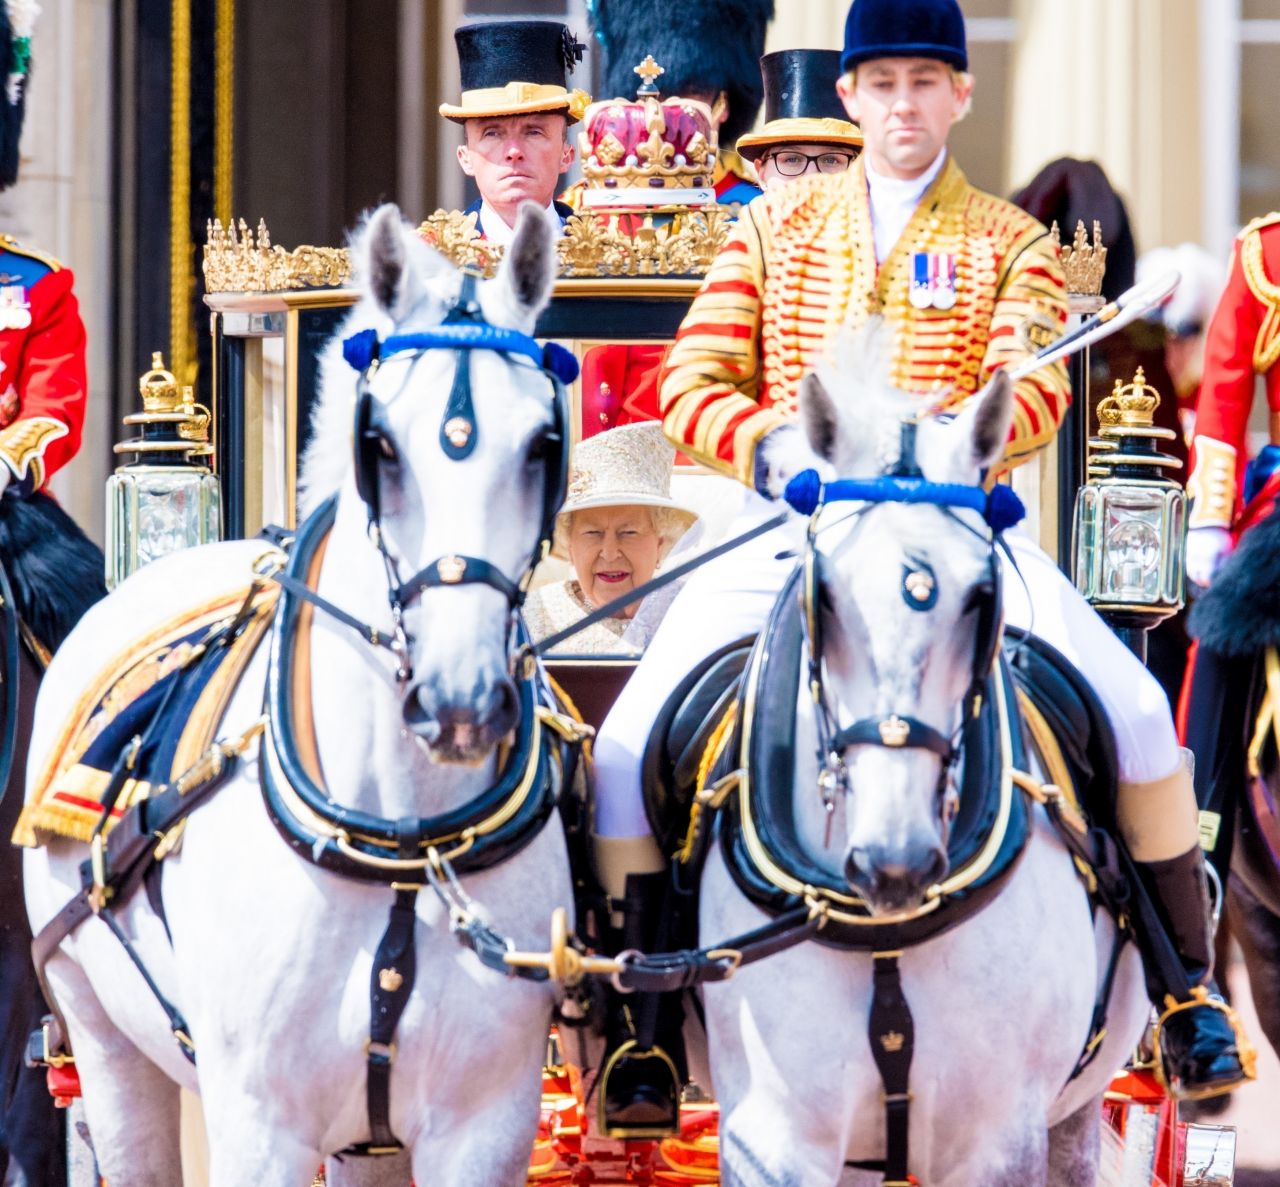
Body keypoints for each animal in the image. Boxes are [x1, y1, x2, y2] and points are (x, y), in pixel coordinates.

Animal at [22, 206, 573, 1187]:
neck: (401, 841)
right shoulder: (257, 1123)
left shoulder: (485, 1126)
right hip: (106, 1040)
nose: (460, 699)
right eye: (377, 444)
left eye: (545, 443)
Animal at [701, 338, 1152, 1183]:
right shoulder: (774, 1133)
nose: (895, 862)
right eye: (825, 594)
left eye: (981, 595)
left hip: (1072, 1113)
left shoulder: (1001, 1138)